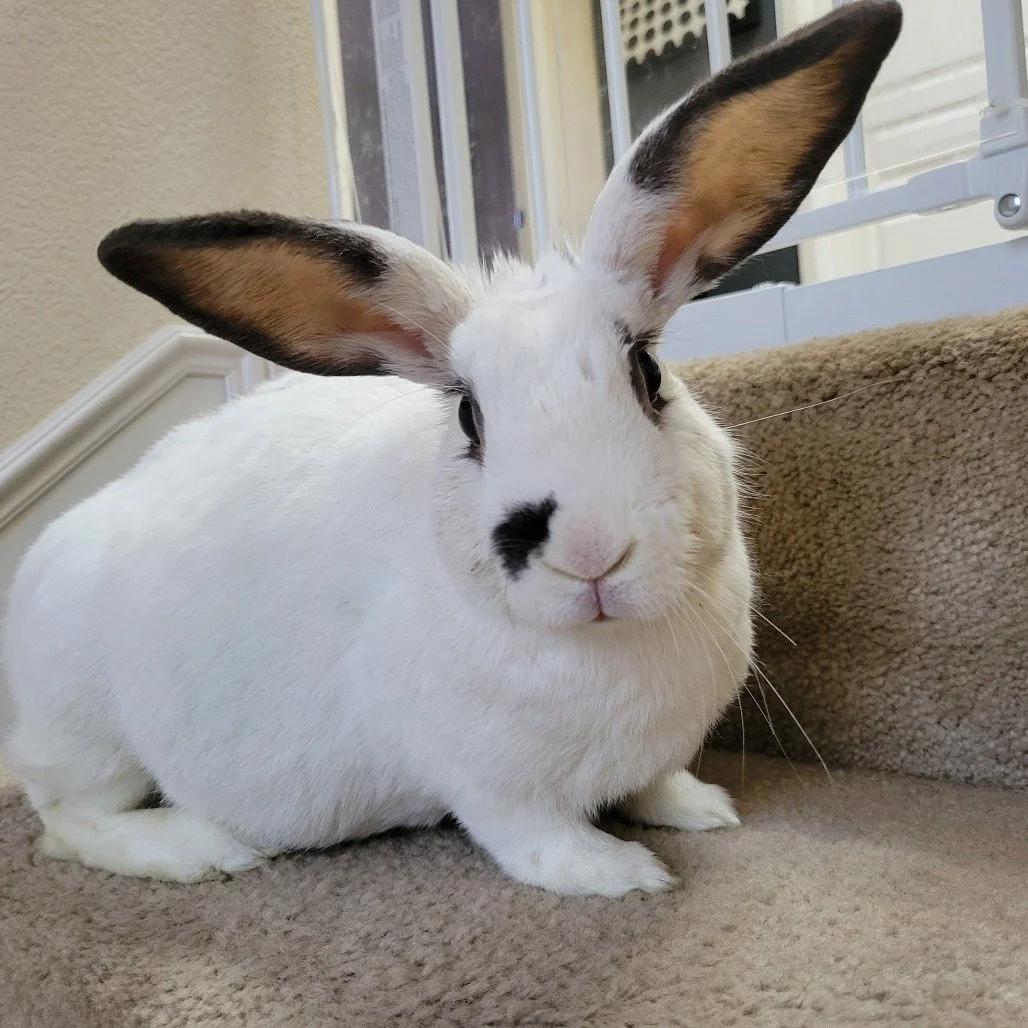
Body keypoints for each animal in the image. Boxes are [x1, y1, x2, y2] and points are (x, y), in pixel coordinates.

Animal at [0, 1, 899, 896]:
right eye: (469, 417)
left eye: (647, 374)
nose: (590, 551)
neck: (601, 643)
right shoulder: (492, 788)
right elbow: (536, 842)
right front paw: (624, 874)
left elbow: (658, 783)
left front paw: (703, 809)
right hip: (88, 736)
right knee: (68, 824)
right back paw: (200, 848)